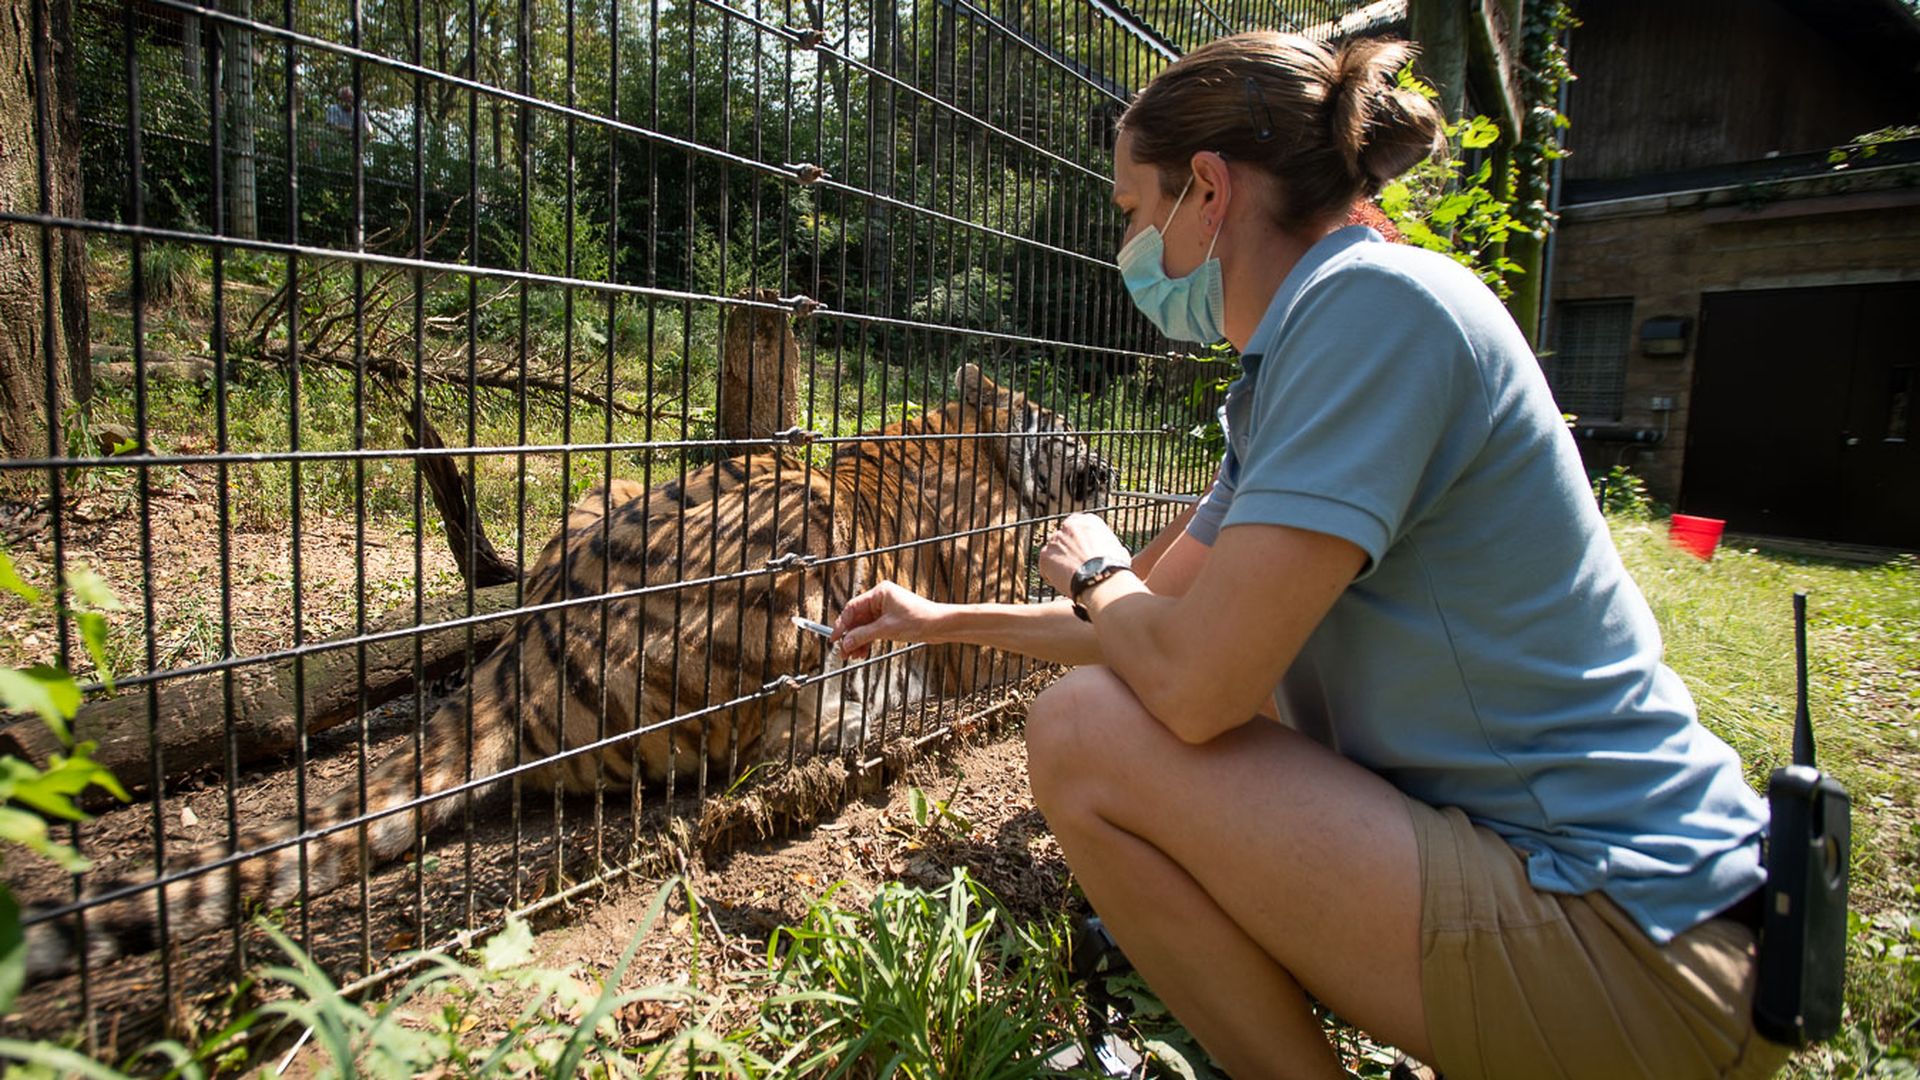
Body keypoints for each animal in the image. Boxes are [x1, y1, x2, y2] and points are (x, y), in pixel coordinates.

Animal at [23, 362, 1112, 980]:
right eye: (1065, 425)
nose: (1103, 467)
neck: (973, 440)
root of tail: (525, 653)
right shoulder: (977, 618)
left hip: (616, 482)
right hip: (794, 530)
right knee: (772, 752)